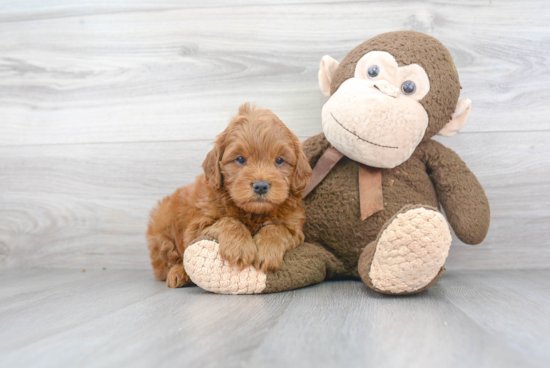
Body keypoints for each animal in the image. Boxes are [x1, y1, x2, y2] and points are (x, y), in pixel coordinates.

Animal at [149, 103, 312, 288]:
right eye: (240, 159)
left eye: (279, 160)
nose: (261, 186)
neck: (253, 214)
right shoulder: (198, 225)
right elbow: (228, 221)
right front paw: (239, 248)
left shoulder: (294, 226)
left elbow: (277, 228)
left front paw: (267, 251)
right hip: (163, 228)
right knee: (167, 265)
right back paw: (178, 273)